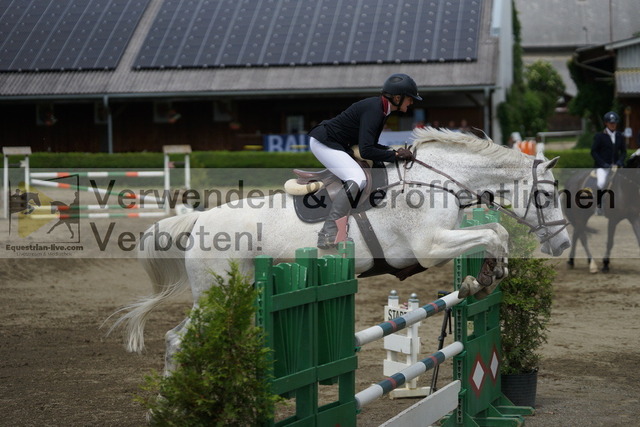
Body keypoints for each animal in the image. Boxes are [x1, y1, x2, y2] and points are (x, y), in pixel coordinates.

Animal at [107, 127, 571, 374]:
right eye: (546, 195)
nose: (564, 243)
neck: (437, 179)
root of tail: (199, 221)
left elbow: (495, 231)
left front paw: (485, 276)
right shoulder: (429, 248)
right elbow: (495, 234)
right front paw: (489, 275)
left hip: (235, 292)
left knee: (181, 337)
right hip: (214, 293)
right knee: (176, 339)